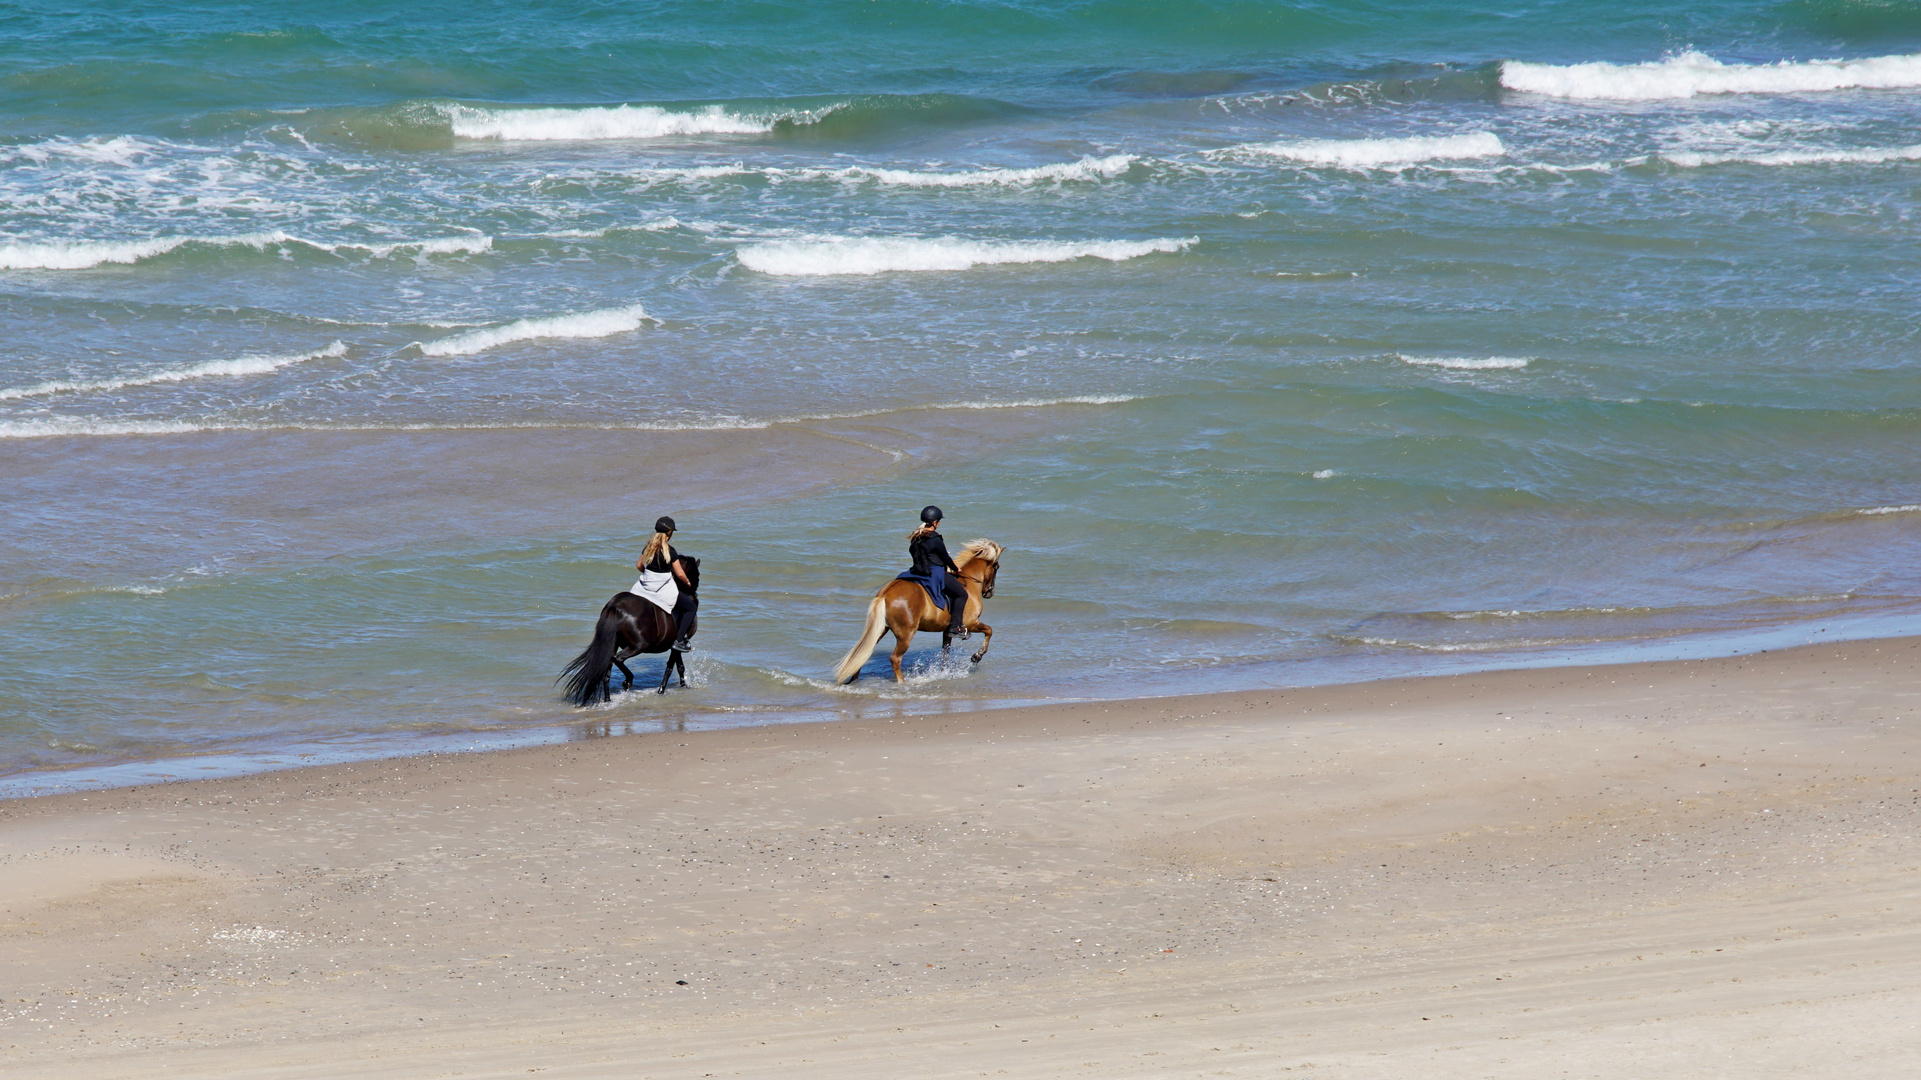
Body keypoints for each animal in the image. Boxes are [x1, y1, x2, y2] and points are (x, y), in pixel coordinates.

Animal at [557, 549, 699, 703]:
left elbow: (679, 666)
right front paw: (663, 690)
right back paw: (628, 680)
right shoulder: (675, 645)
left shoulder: (674, 646)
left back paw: (608, 699)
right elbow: (673, 667)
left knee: (607, 673)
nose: (694, 593)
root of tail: (614, 606)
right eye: (696, 575)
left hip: (612, 645)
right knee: (618, 659)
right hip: (638, 646)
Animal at [829, 538, 1006, 680]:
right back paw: (902, 683)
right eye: (996, 567)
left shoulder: (947, 630)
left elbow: (945, 654)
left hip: (882, 629)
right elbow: (989, 631)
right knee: (895, 658)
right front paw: (976, 656)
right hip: (906, 634)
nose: (989, 592)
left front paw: (943, 673)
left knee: (863, 652)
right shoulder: (970, 623)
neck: (968, 583)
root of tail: (884, 594)